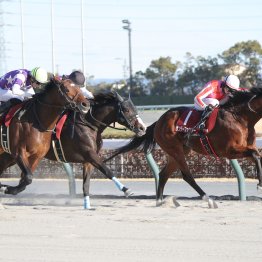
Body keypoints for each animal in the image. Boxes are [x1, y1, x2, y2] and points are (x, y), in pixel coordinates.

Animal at [105, 87, 262, 207]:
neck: (240, 118)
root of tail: (159, 121)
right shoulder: (229, 151)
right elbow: (255, 155)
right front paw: (260, 184)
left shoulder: (243, 148)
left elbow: (257, 156)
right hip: (175, 150)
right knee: (187, 176)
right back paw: (208, 199)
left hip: (178, 152)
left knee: (163, 174)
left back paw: (159, 201)